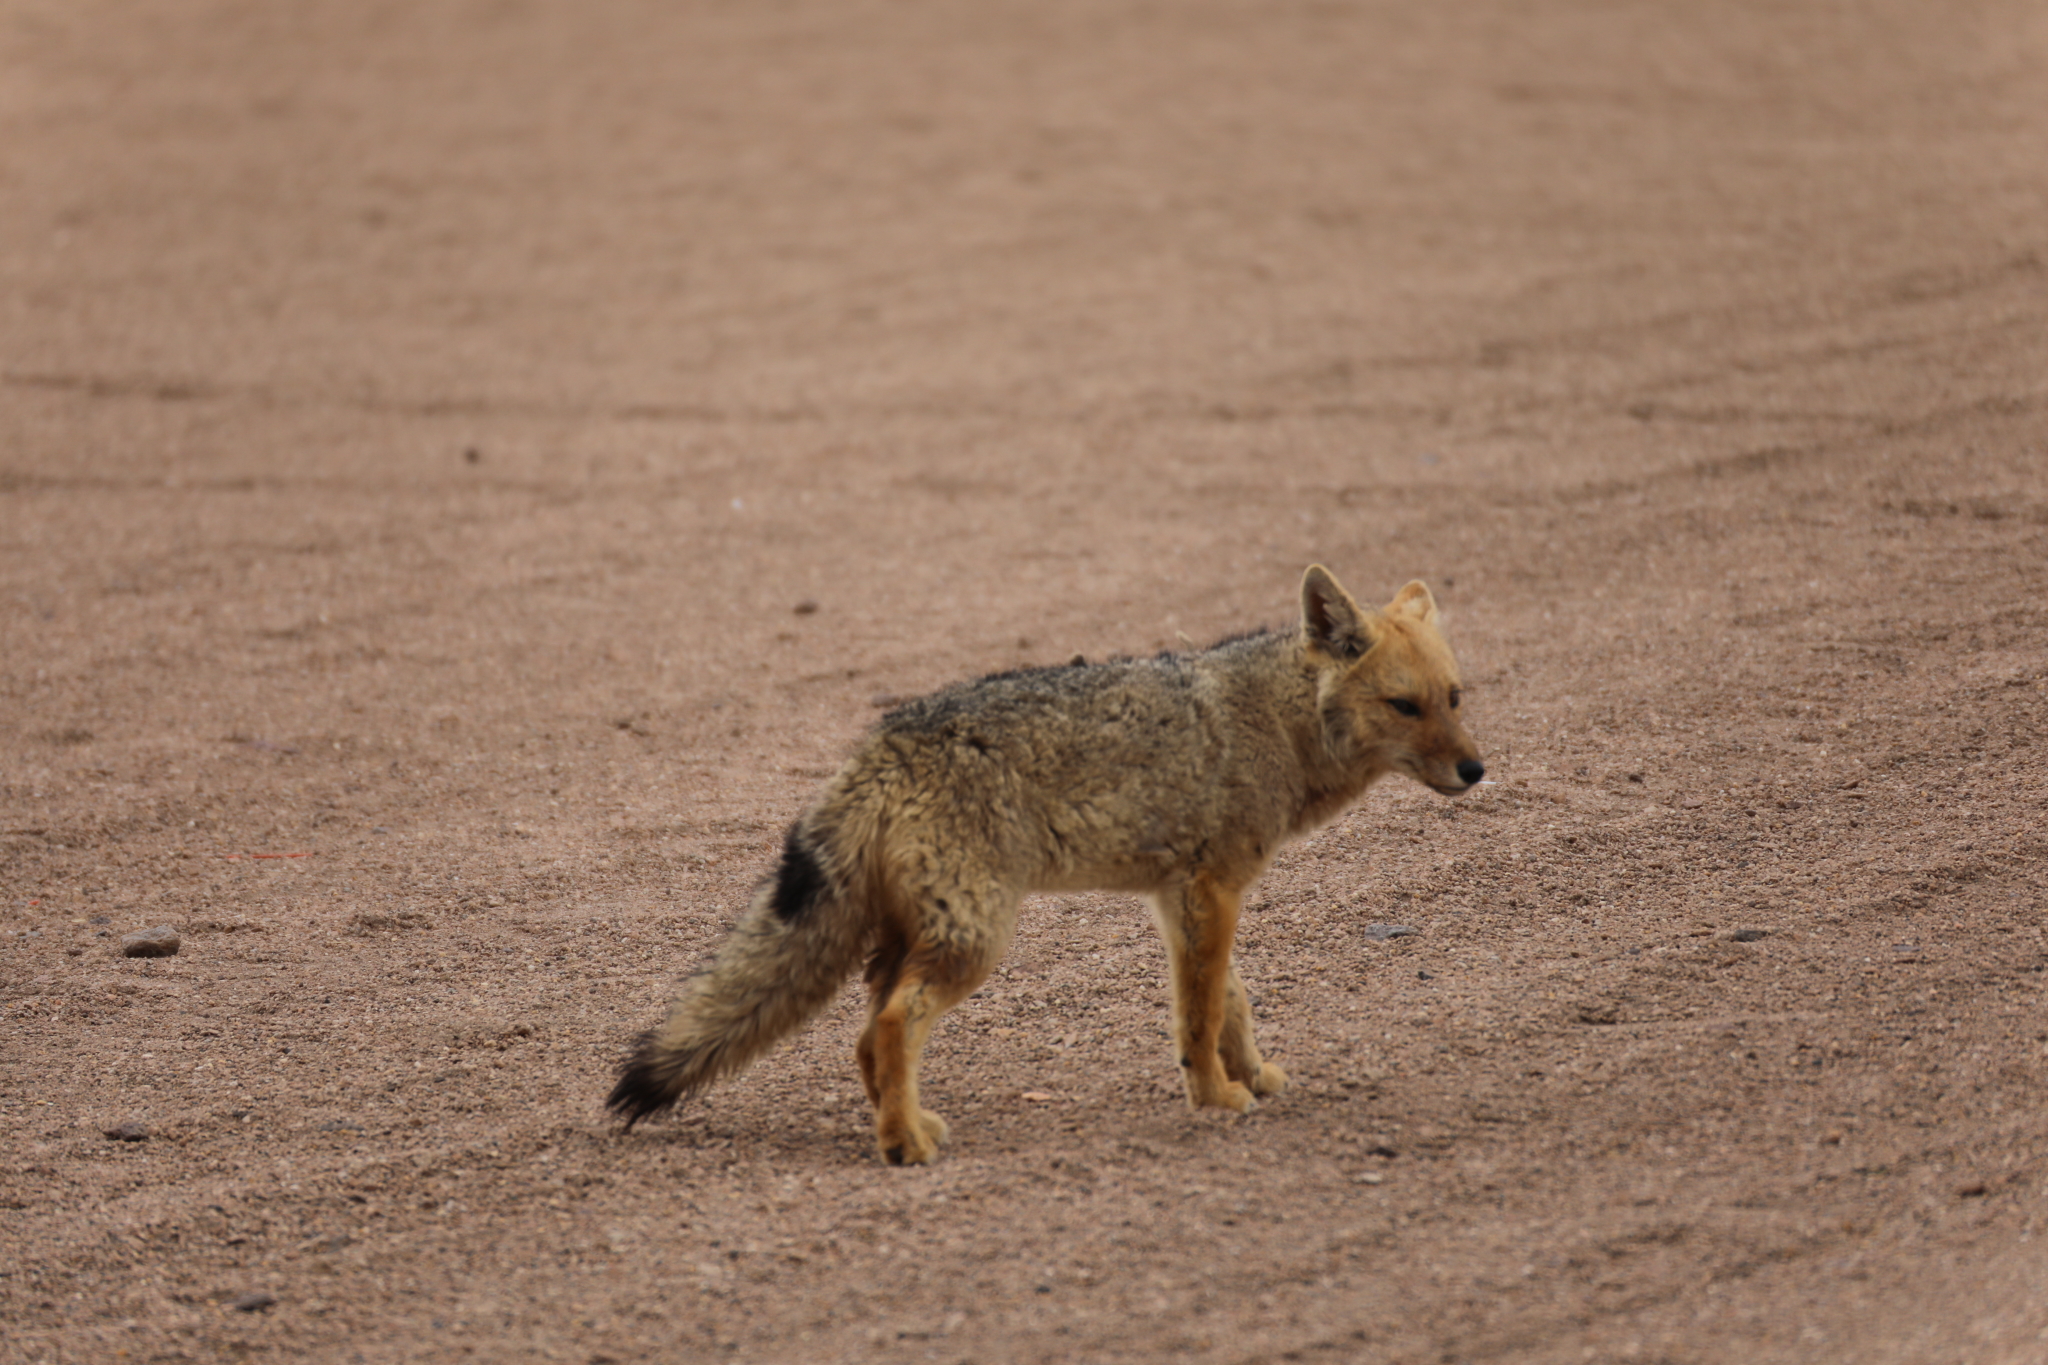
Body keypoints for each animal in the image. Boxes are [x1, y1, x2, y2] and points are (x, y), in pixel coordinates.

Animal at [606, 564, 1490, 1162]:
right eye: (1404, 706)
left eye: (1456, 697)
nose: (1476, 770)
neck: (1273, 717)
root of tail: (880, 742)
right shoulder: (1211, 890)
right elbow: (1202, 1015)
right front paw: (1213, 1096)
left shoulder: (1184, 897)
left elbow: (1227, 1003)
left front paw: (1253, 1075)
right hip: (975, 940)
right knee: (890, 1025)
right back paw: (902, 1145)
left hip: (911, 939)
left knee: (864, 1037)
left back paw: (904, 1120)